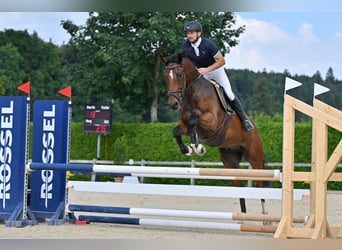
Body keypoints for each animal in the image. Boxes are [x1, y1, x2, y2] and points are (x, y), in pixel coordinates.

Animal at [162, 50, 268, 215]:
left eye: (179, 74)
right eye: (166, 76)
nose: (173, 104)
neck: (192, 93)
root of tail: (255, 128)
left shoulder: (211, 122)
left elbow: (194, 121)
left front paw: (196, 147)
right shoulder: (184, 124)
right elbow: (177, 130)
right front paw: (188, 149)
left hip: (255, 156)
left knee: (260, 183)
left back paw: (264, 214)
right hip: (229, 160)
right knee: (238, 185)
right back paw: (242, 215)